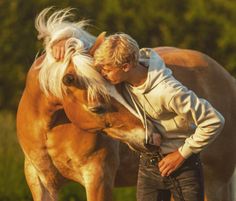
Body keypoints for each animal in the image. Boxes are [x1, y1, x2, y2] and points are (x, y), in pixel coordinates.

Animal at [16, 7, 236, 201]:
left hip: (214, 184)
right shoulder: (42, 183)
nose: (151, 138)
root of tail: (227, 78)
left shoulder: (99, 178)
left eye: (119, 88)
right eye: (97, 108)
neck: (51, 128)